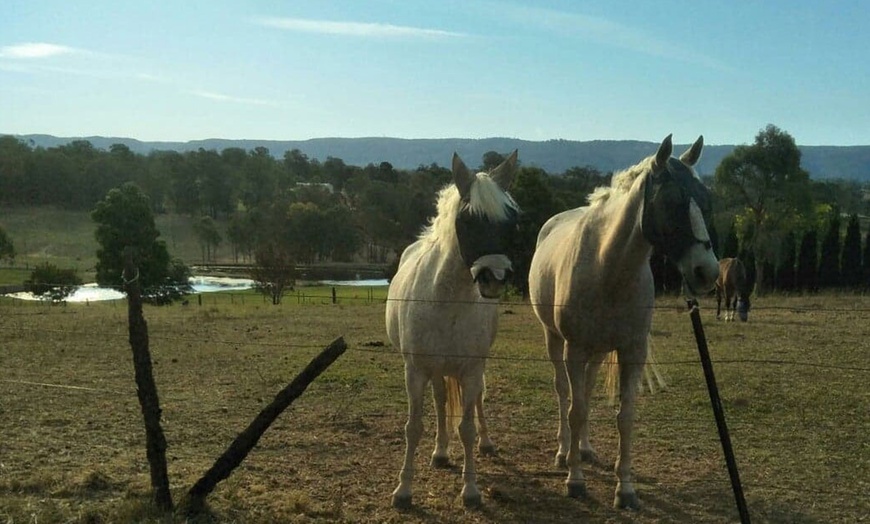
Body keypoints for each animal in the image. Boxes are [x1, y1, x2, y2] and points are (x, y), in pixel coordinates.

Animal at [386, 150, 516, 508]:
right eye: (467, 221)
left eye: (511, 221)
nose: (493, 278)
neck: (446, 301)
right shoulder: (415, 370)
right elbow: (414, 427)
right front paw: (403, 490)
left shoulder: (470, 370)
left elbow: (467, 428)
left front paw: (470, 489)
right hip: (435, 370)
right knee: (441, 400)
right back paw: (440, 452)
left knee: (475, 402)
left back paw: (485, 443)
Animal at [532, 135, 724, 508]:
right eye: (672, 201)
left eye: (706, 199)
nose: (707, 272)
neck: (608, 267)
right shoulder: (574, 348)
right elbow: (575, 409)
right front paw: (575, 481)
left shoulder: (631, 351)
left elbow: (624, 416)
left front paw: (625, 489)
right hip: (555, 340)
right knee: (564, 393)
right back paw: (564, 452)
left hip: (594, 351)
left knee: (586, 390)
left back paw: (585, 449)